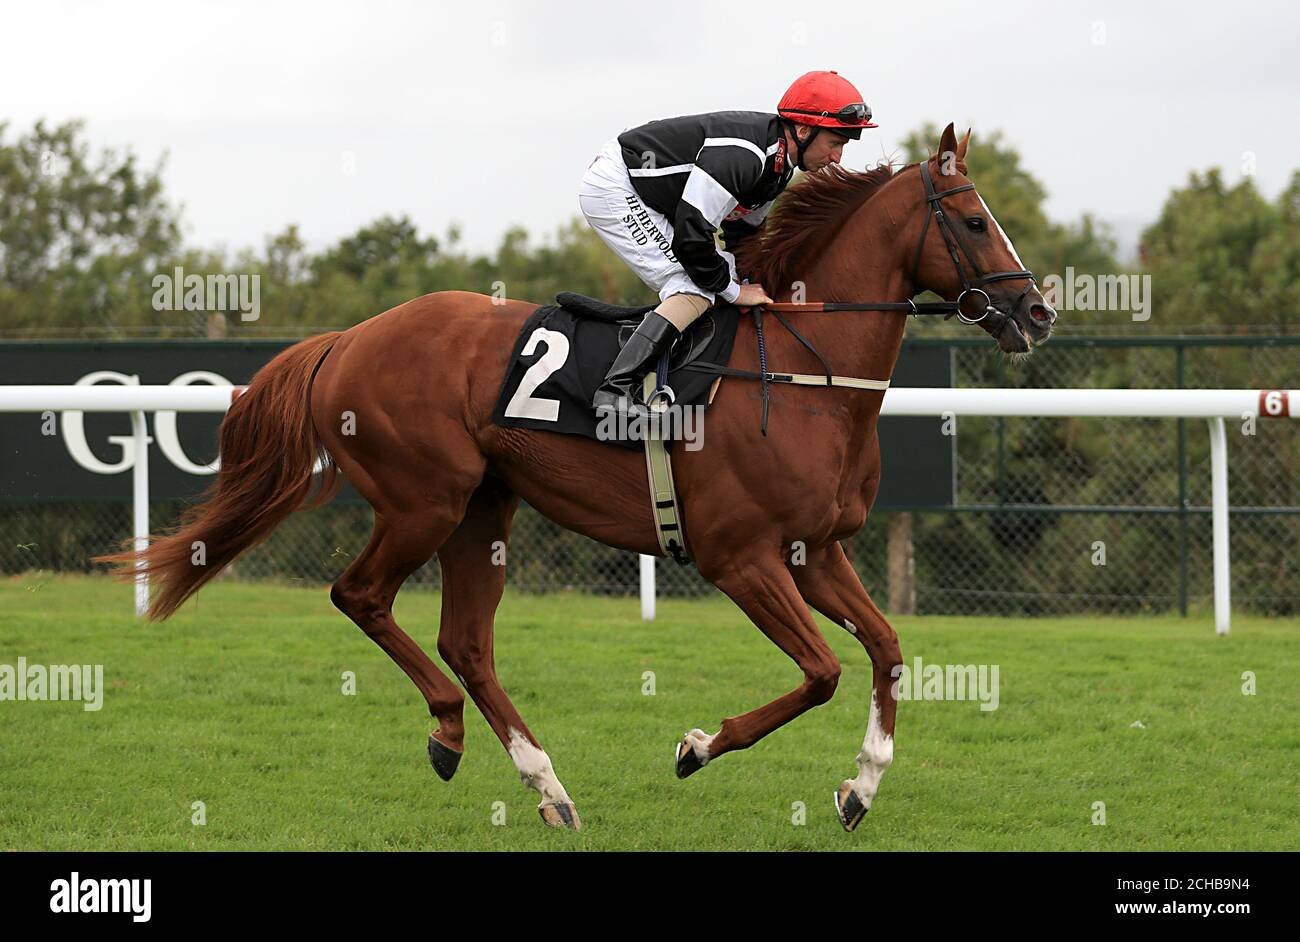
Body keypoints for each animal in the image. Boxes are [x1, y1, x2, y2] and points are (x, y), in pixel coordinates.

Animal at [104, 124, 1055, 831]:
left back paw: (542, 783)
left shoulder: (813, 552)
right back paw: (450, 733)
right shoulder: (739, 557)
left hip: (483, 508)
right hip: (425, 499)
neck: (799, 372)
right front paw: (697, 746)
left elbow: (888, 650)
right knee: (361, 596)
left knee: (467, 642)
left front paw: (861, 786)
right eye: (975, 222)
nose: (1038, 311)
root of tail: (347, 339)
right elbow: (821, 670)